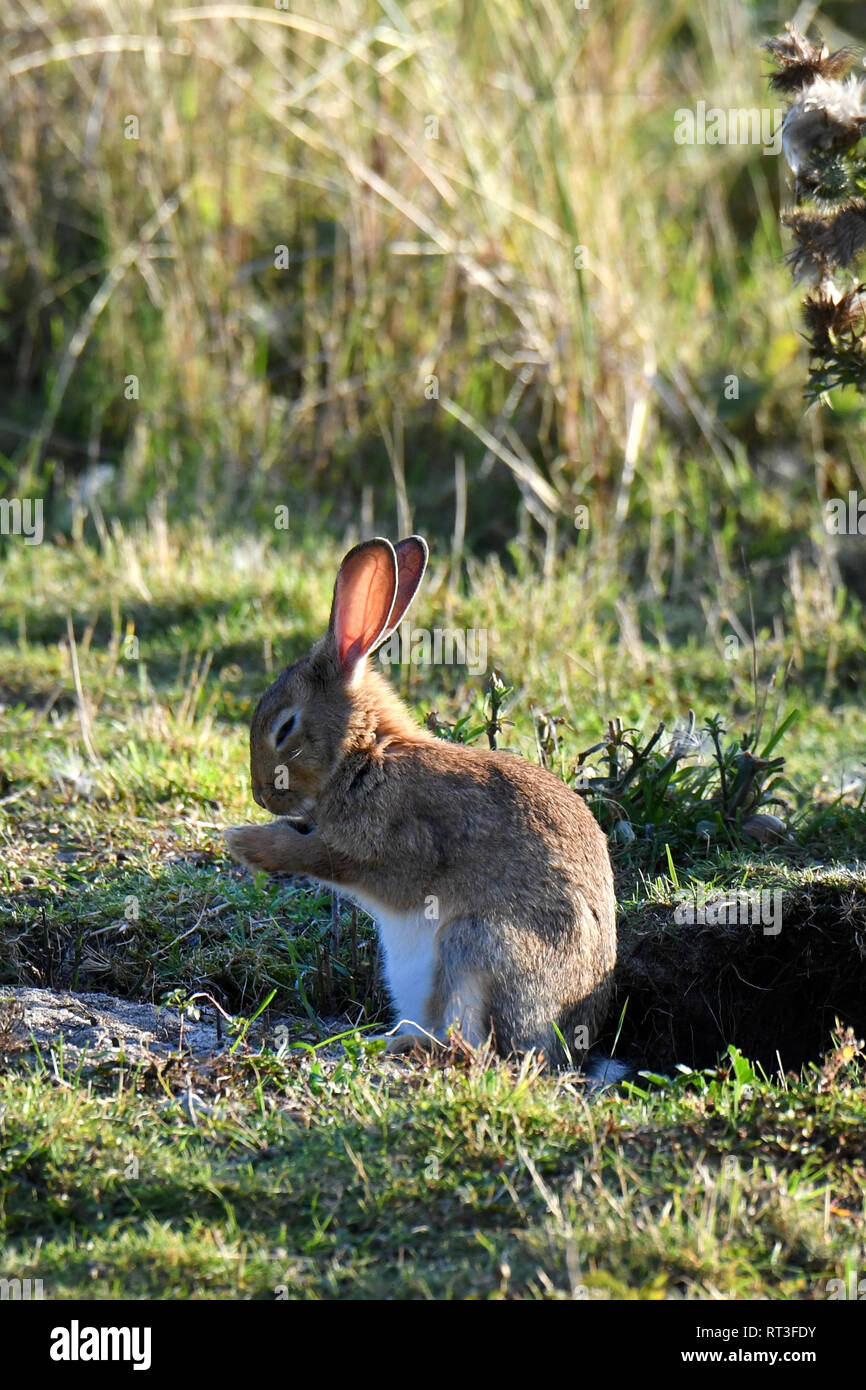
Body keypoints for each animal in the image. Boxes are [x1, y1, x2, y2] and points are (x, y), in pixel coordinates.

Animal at [225, 535, 618, 1068]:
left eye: (285, 728)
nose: (261, 795)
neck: (365, 753)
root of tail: (567, 1048)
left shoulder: (389, 846)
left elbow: (316, 855)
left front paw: (245, 843)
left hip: (474, 945)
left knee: (473, 1047)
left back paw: (399, 1044)